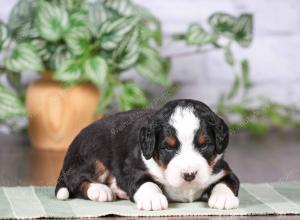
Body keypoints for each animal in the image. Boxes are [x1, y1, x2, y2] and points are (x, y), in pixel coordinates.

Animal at [55, 99, 239, 210]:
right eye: (168, 148)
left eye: (204, 145)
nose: (189, 175)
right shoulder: (135, 169)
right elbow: (147, 183)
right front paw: (153, 199)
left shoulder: (222, 169)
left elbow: (226, 183)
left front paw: (223, 198)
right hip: (91, 156)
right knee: (77, 181)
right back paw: (100, 190)